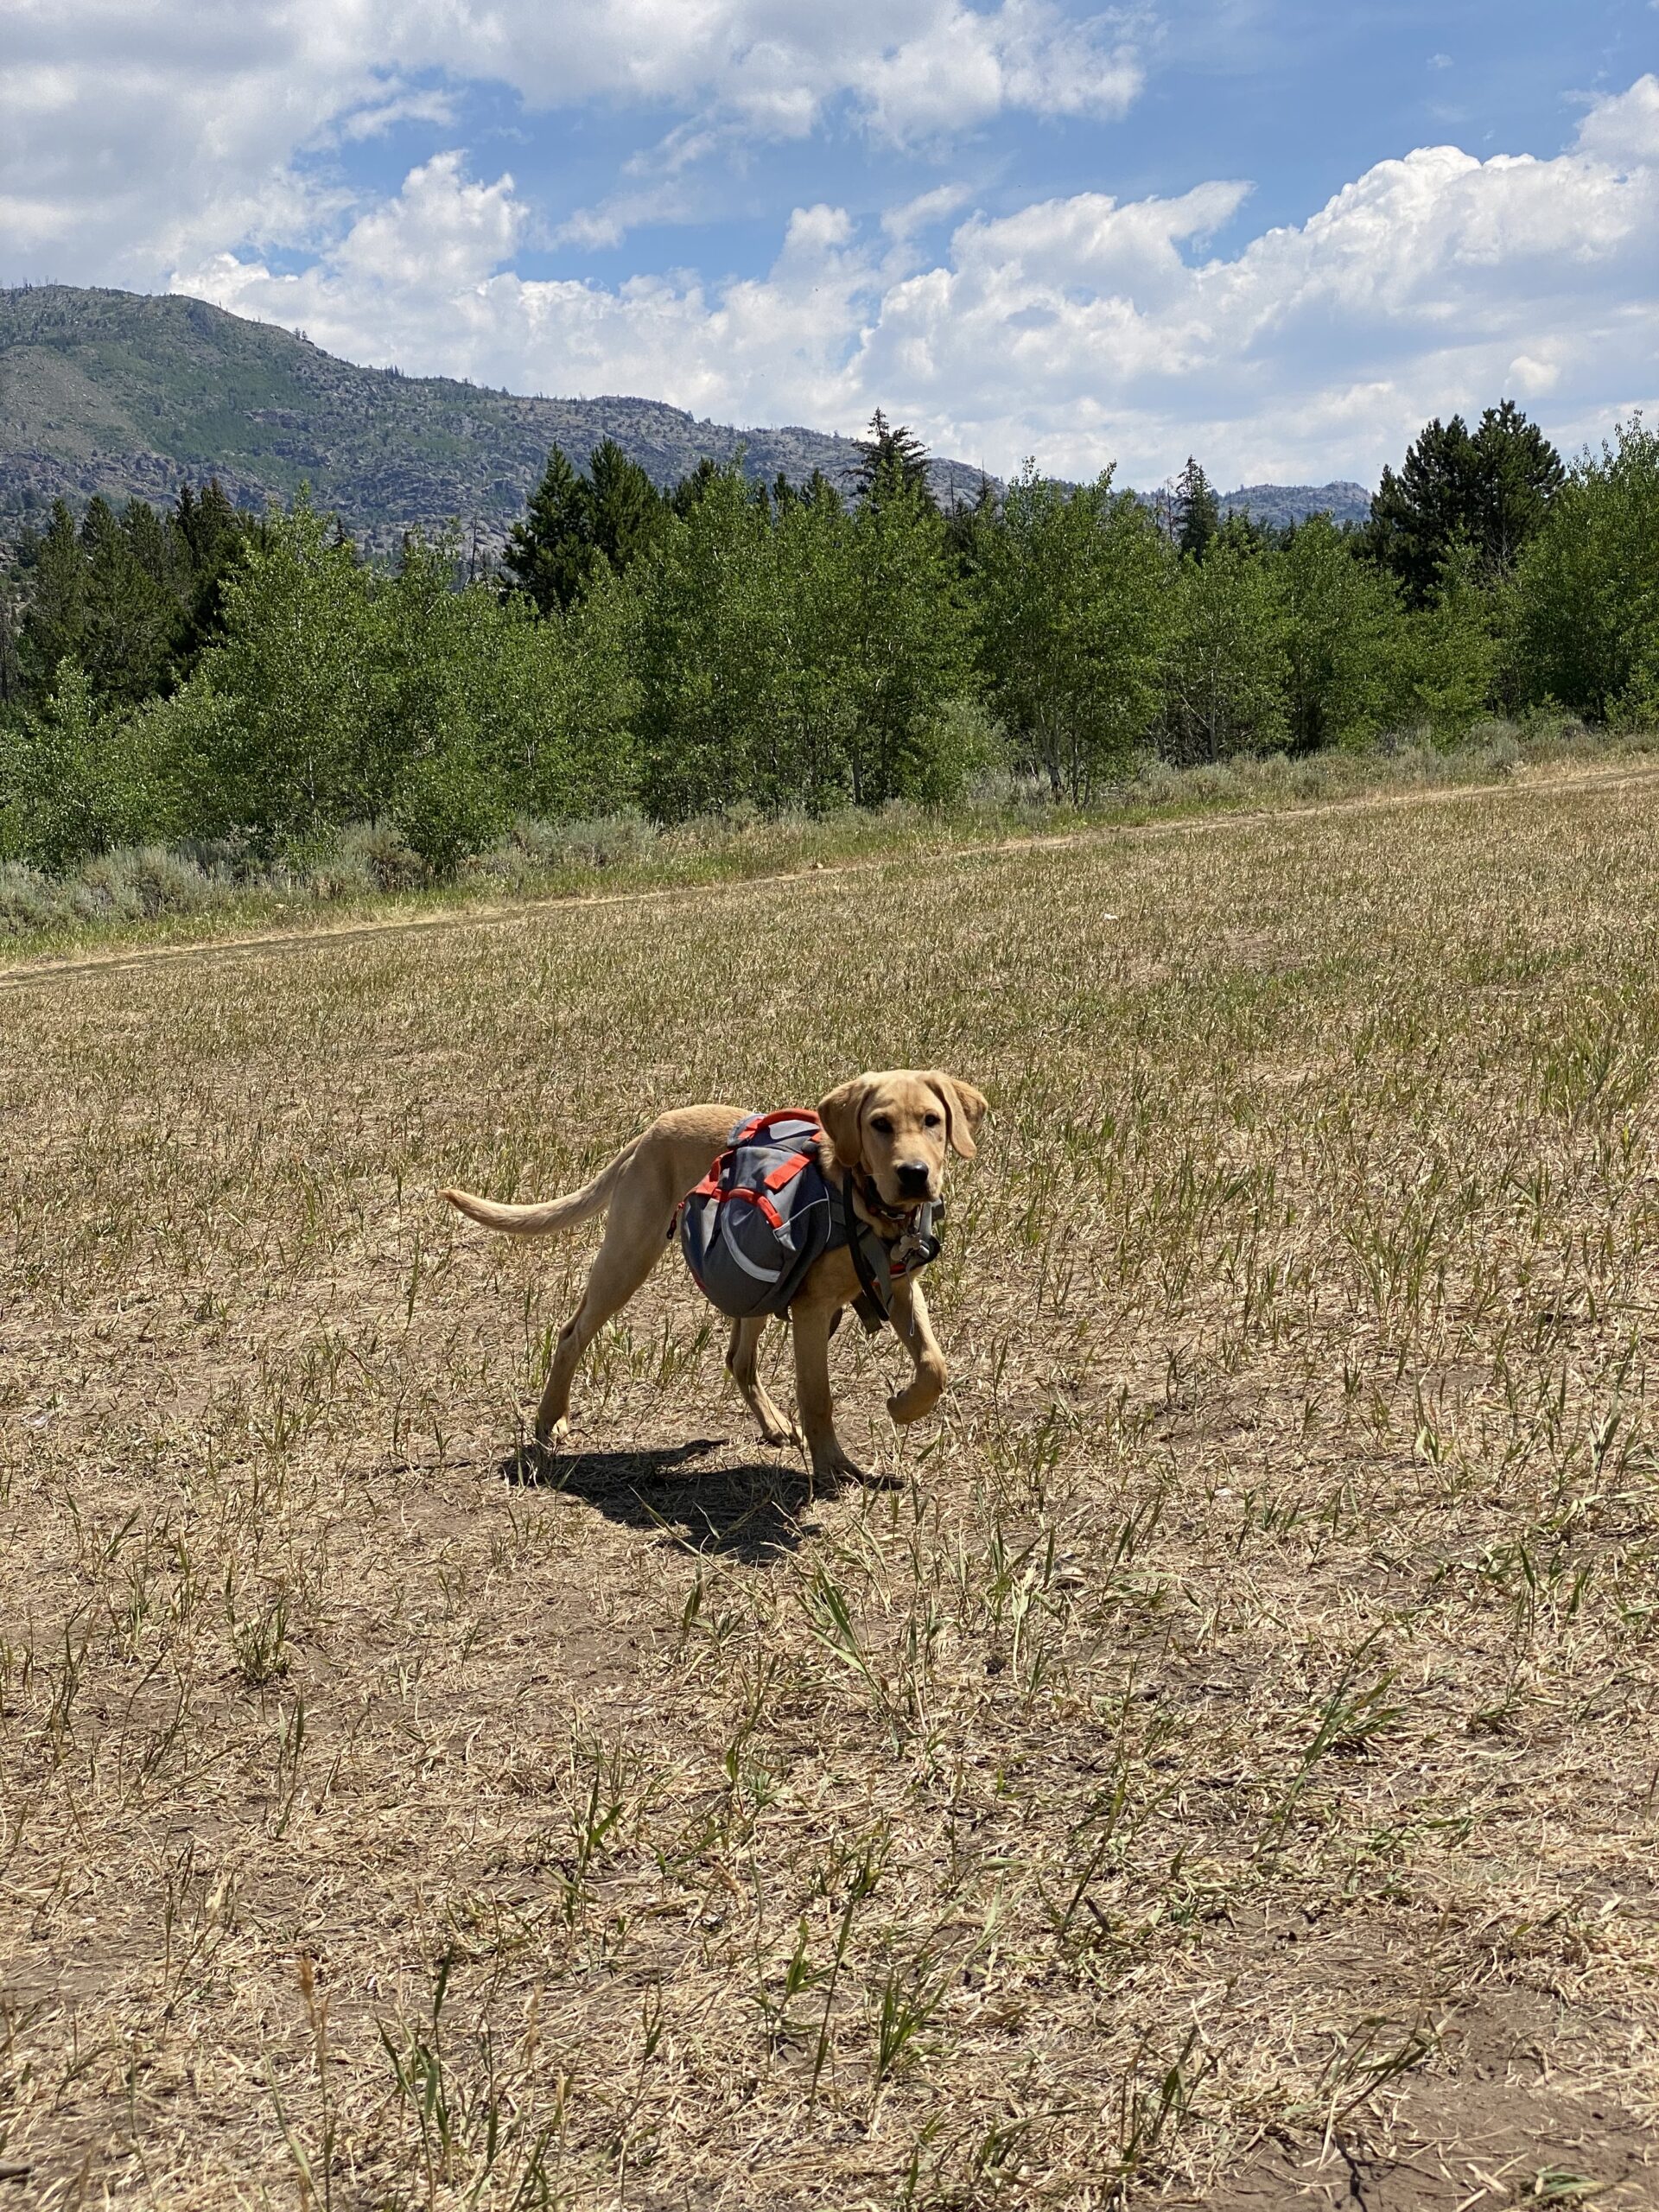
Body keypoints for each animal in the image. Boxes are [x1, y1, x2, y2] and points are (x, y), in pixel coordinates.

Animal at [444, 1071, 986, 1486]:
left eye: (932, 1121)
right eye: (879, 1124)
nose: (914, 1173)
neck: (863, 1203)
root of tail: (651, 1131)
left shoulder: (900, 1288)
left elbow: (935, 1366)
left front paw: (903, 1407)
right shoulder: (812, 1309)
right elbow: (818, 1398)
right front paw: (834, 1468)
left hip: (757, 1286)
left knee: (738, 1359)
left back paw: (773, 1422)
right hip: (630, 1257)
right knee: (571, 1332)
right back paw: (550, 1419)